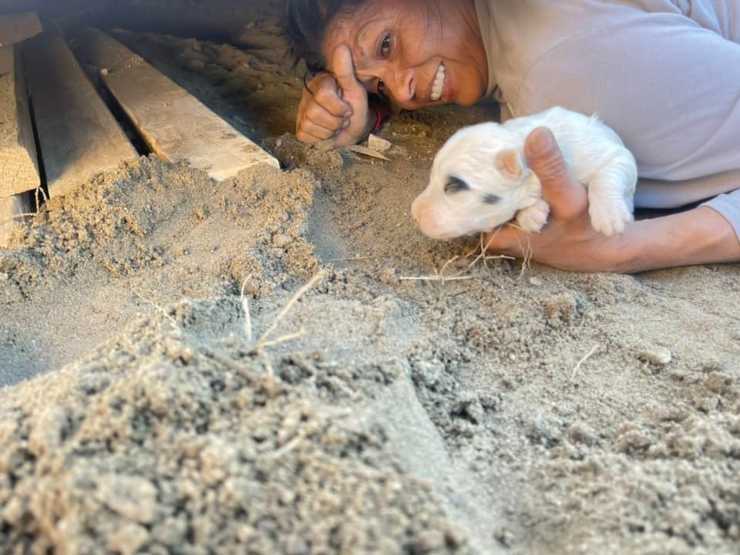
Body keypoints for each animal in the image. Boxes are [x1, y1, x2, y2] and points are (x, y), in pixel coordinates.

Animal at [410, 107, 636, 240]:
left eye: (453, 186)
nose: (414, 214)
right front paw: (531, 215)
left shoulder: (611, 154)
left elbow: (612, 169)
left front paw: (609, 217)